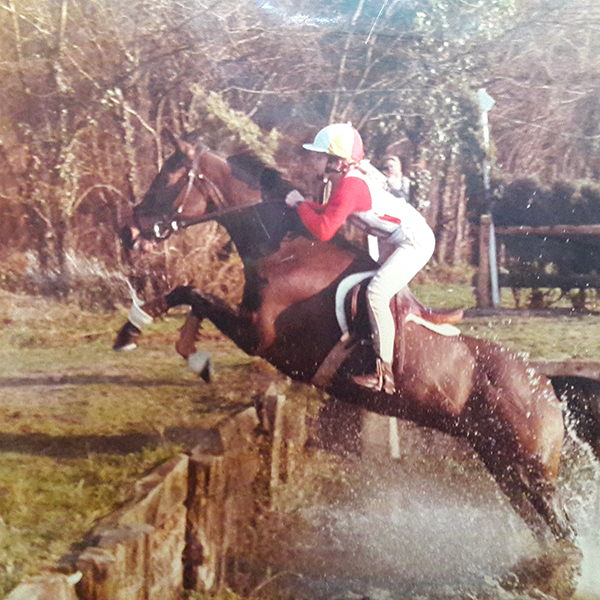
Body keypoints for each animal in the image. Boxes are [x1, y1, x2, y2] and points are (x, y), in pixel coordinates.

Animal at [116, 134, 576, 548]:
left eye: (168, 177)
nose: (127, 230)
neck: (288, 251)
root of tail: (547, 388)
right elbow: (190, 297)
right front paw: (163, 343)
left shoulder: (258, 335)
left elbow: (194, 294)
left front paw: (143, 334)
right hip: (501, 465)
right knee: (546, 528)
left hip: (532, 470)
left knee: (564, 529)